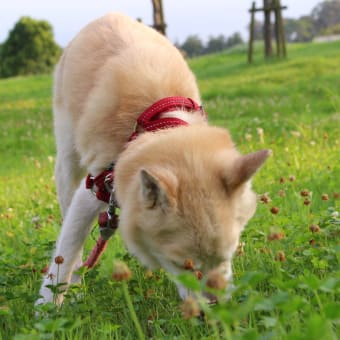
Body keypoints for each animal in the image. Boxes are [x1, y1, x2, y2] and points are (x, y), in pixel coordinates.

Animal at [37, 13, 270, 306]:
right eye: (182, 265)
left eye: (226, 258)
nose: (213, 308)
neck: (160, 123)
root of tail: (107, 15)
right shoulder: (94, 188)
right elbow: (65, 255)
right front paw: (48, 308)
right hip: (68, 156)